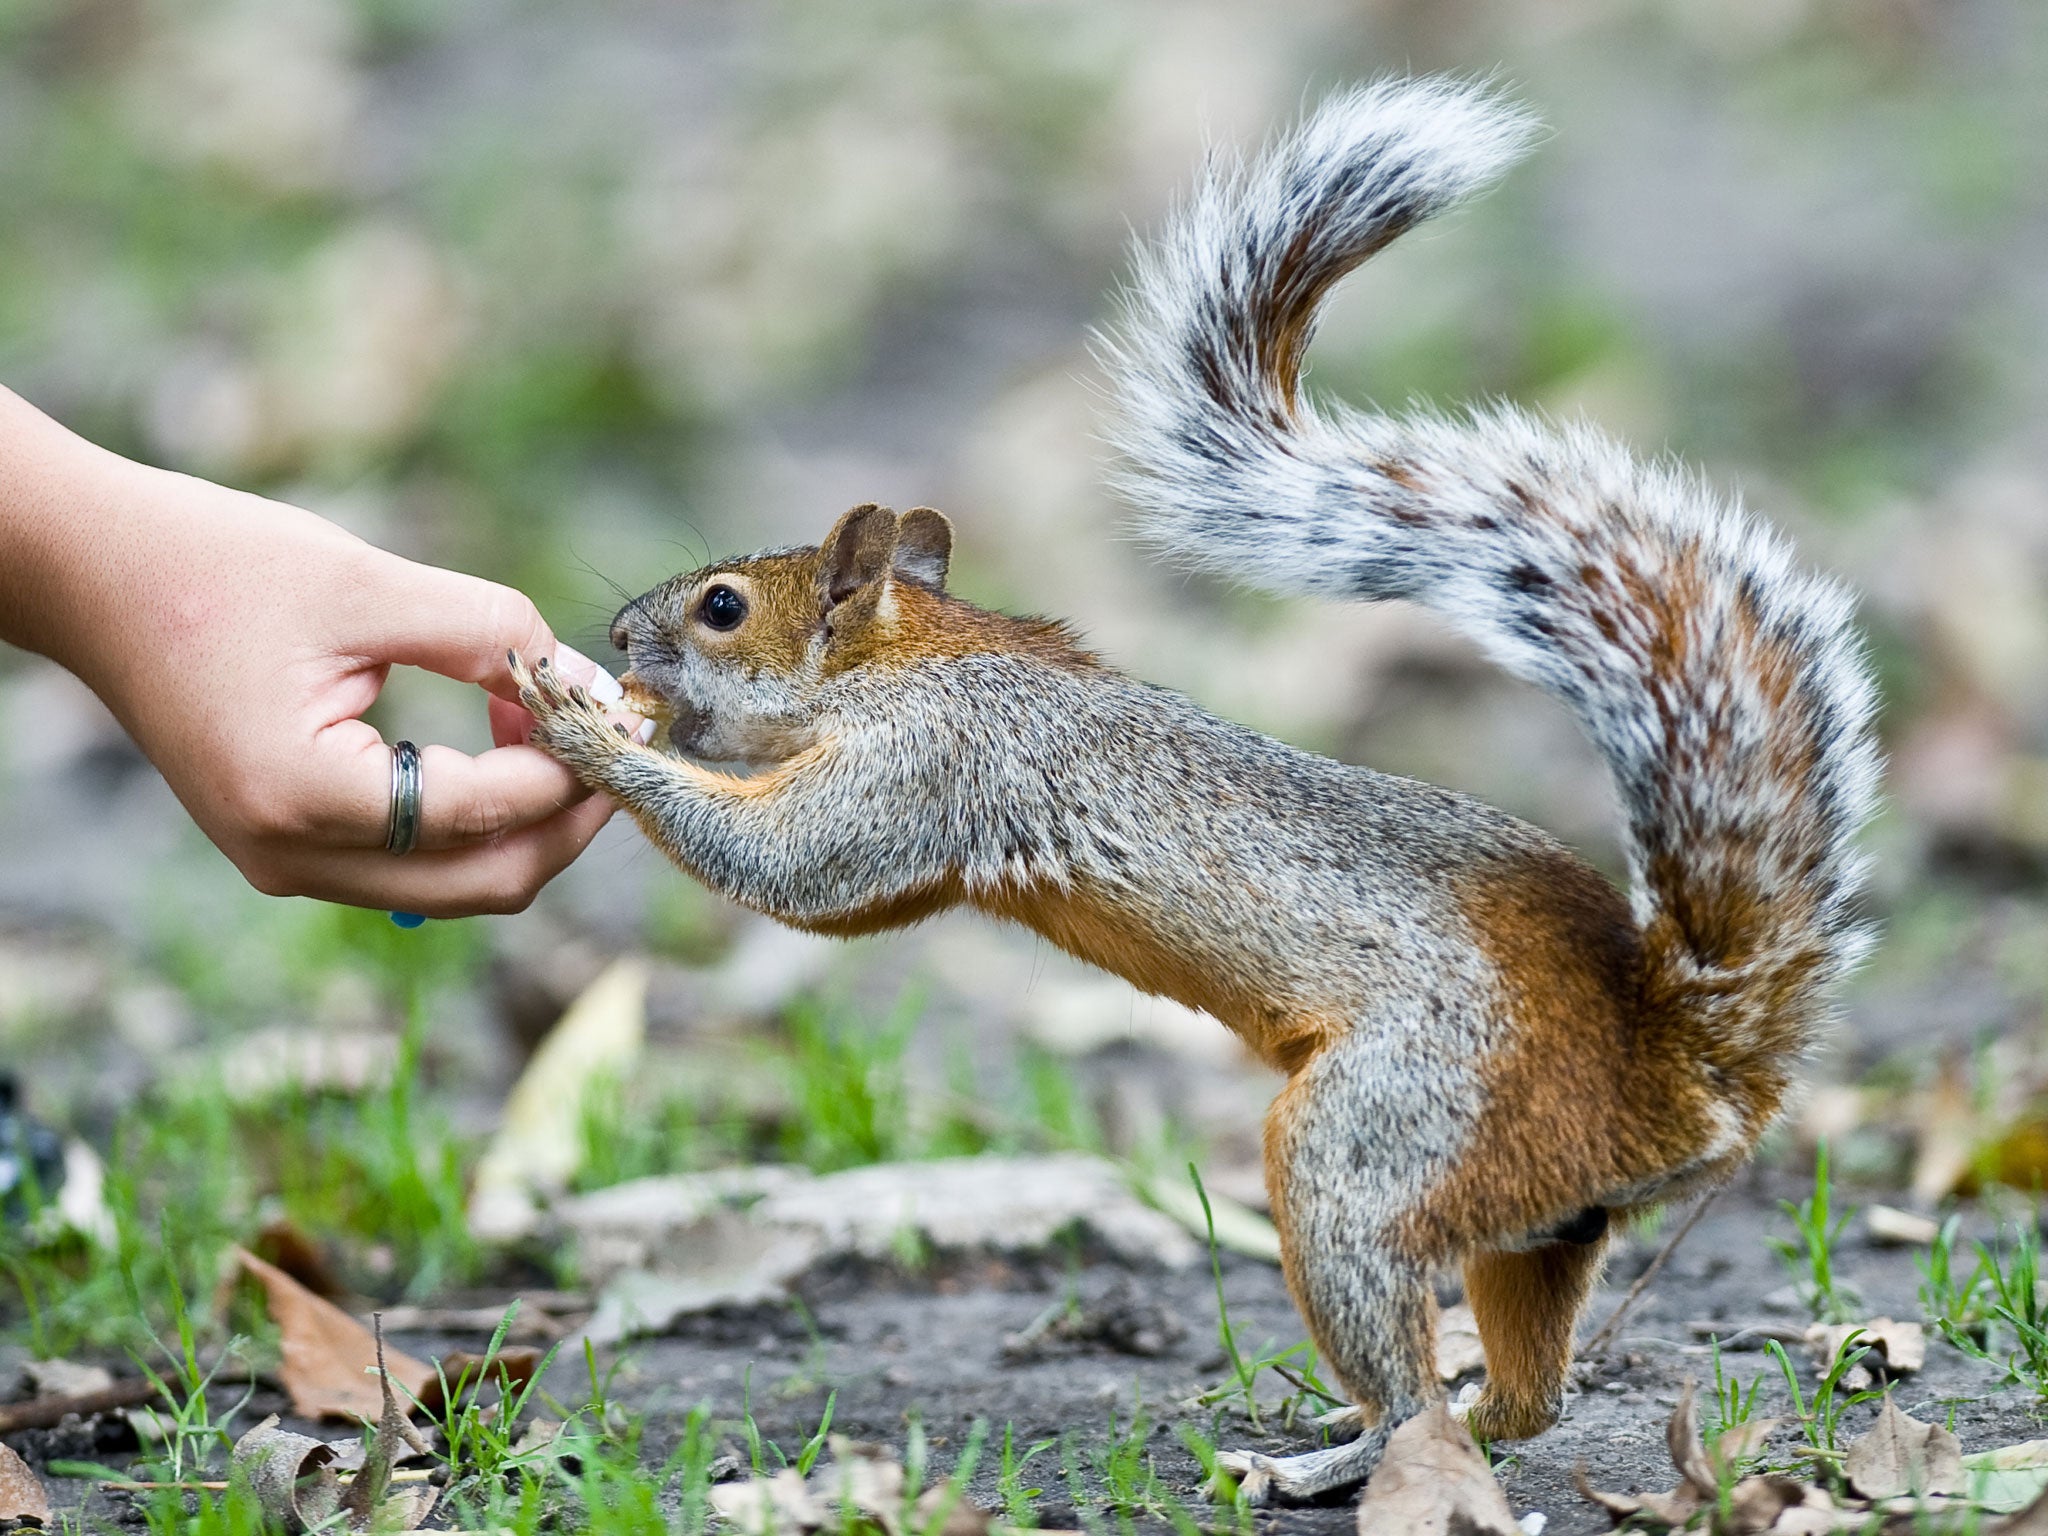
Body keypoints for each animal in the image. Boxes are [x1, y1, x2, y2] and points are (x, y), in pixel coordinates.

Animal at [507, 75, 1875, 1507]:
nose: (617, 633)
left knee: (1410, 1385)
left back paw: (1327, 1461)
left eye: (720, 607)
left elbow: (800, 871)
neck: (921, 658)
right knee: (1521, 1403)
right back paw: (1428, 1421)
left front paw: (595, 733)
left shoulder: (932, 766)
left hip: (1372, 1145)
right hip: (1536, 1225)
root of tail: (1675, 1073)